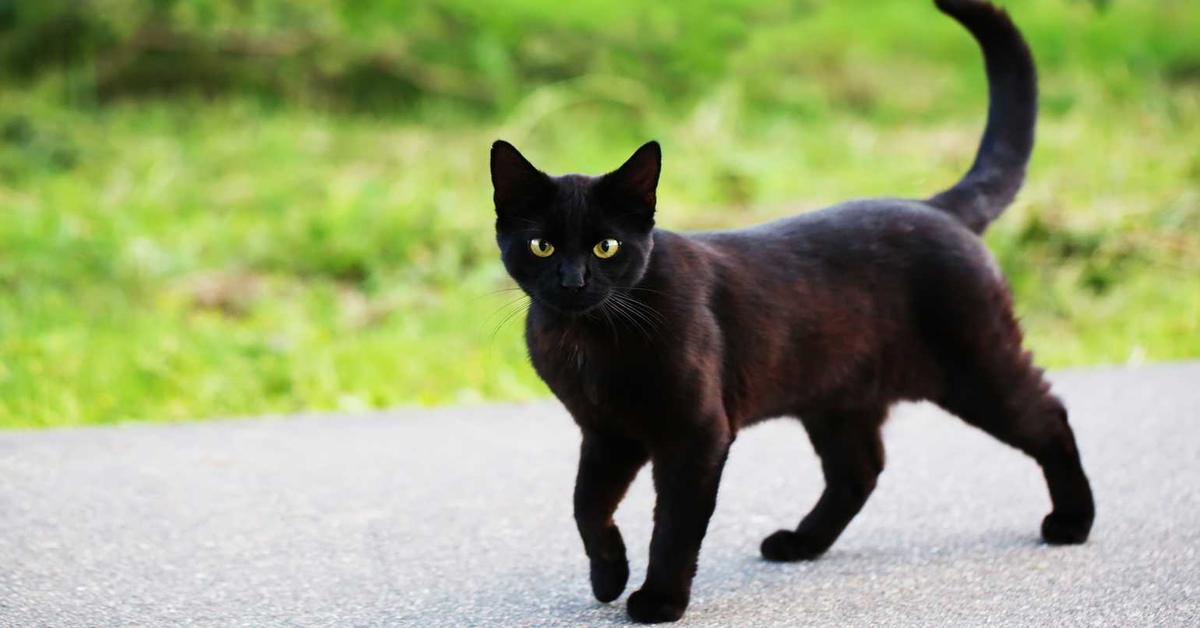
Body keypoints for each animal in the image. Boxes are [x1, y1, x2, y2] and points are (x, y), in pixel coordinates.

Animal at [487, 0, 1099, 624]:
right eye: (543, 246)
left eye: (606, 247)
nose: (573, 281)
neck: (587, 339)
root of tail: (937, 207)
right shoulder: (608, 433)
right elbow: (586, 506)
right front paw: (609, 577)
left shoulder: (694, 433)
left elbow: (673, 526)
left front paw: (659, 599)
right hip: (836, 396)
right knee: (860, 469)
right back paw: (801, 542)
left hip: (976, 365)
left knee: (1049, 415)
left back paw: (1072, 521)